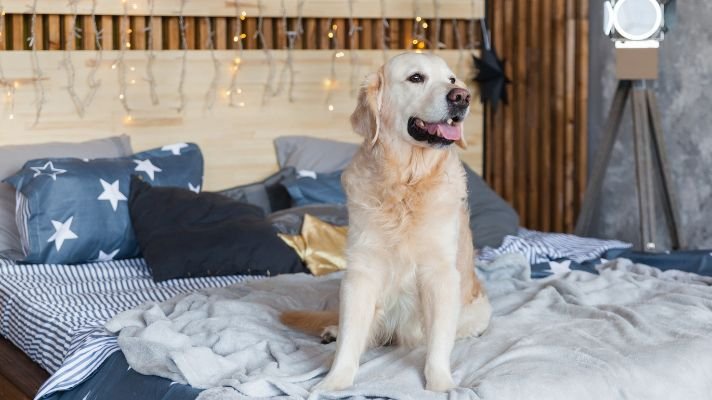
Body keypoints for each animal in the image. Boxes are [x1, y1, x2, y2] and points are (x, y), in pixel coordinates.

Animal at [280, 51, 492, 392]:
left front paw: (442, 385)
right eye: (416, 78)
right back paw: (332, 330)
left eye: (451, 80)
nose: (462, 96)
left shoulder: (440, 274)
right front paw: (334, 382)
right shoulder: (361, 272)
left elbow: (438, 343)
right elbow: (351, 338)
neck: (406, 182)